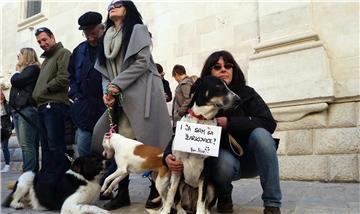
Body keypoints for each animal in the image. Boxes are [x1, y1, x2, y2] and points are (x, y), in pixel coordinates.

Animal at [160, 75, 239, 214]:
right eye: (218, 86)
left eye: (227, 85)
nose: (238, 99)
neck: (201, 119)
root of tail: (190, 206)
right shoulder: (177, 168)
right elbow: (171, 194)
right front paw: (165, 211)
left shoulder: (205, 171)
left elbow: (201, 199)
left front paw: (201, 211)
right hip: (182, 184)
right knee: (178, 200)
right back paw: (181, 210)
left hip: (212, 188)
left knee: (205, 203)